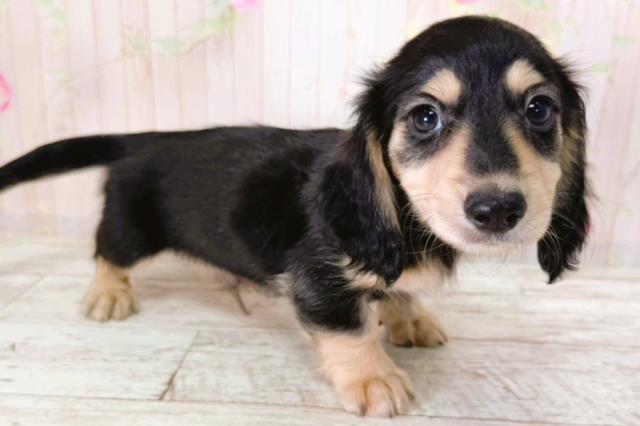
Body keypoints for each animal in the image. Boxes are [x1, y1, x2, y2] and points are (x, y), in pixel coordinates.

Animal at [0, 16, 589, 416]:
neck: (404, 222)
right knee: (107, 251)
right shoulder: (319, 279)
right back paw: (108, 294)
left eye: (539, 109)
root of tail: (146, 139)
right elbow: (350, 330)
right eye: (425, 117)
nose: (499, 209)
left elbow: (397, 289)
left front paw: (409, 316)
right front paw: (374, 380)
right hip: (131, 226)